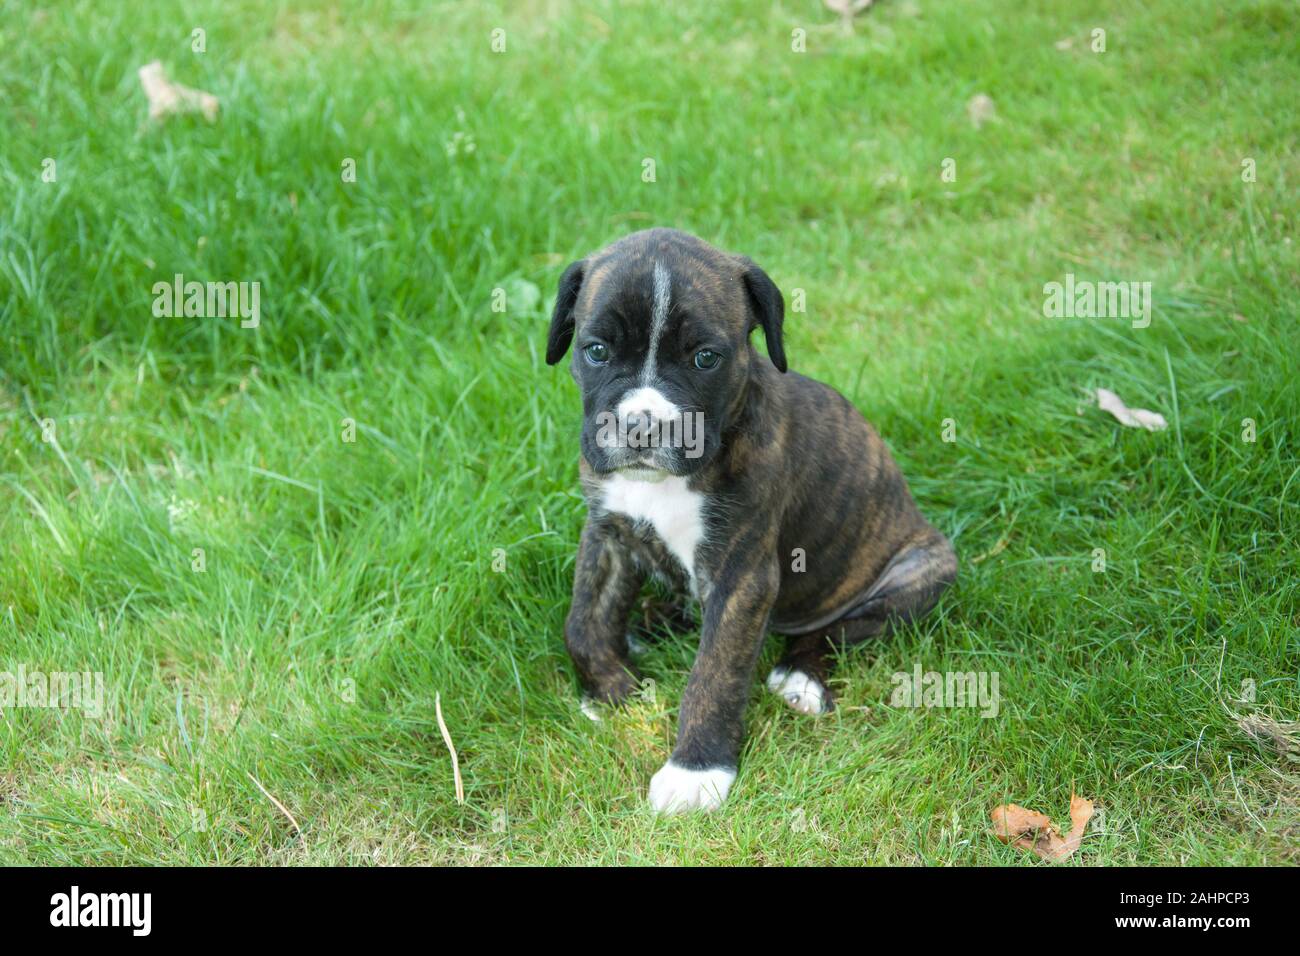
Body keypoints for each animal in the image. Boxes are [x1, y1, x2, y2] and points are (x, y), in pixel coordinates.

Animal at [543, 230, 961, 816]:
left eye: (705, 358)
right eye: (596, 351)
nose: (643, 426)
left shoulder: (742, 575)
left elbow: (715, 672)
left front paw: (696, 771)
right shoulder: (607, 532)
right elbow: (583, 620)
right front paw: (611, 690)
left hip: (924, 567)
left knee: (838, 631)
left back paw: (801, 676)